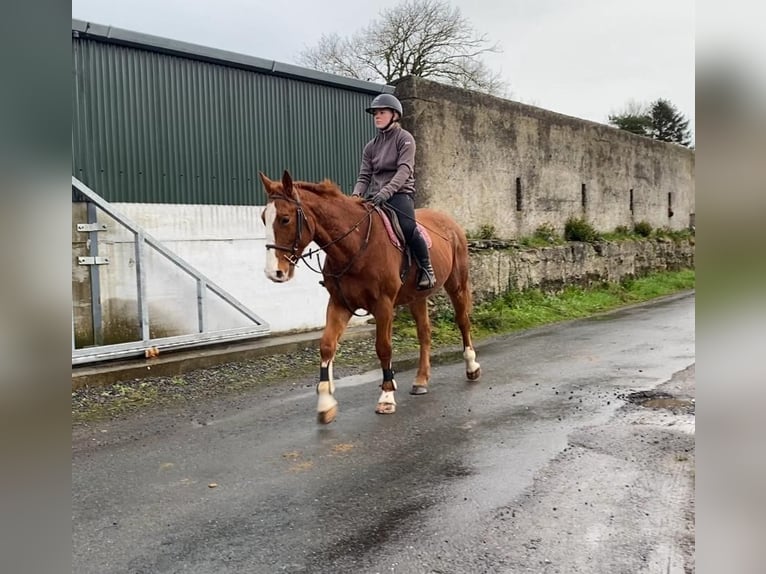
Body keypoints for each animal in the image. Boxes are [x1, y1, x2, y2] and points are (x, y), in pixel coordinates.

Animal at [262, 170, 480, 424]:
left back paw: (472, 366)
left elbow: (383, 347)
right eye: (263, 218)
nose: (274, 272)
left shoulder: (383, 305)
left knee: (463, 321)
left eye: (285, 219)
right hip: (417, 296)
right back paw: (420, 380)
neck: (355, 244)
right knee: (425, 333)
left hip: (457, 284)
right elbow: (327, 345)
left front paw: (386, 396)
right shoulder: (339, 303)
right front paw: (326, 403)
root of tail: (448, 221)